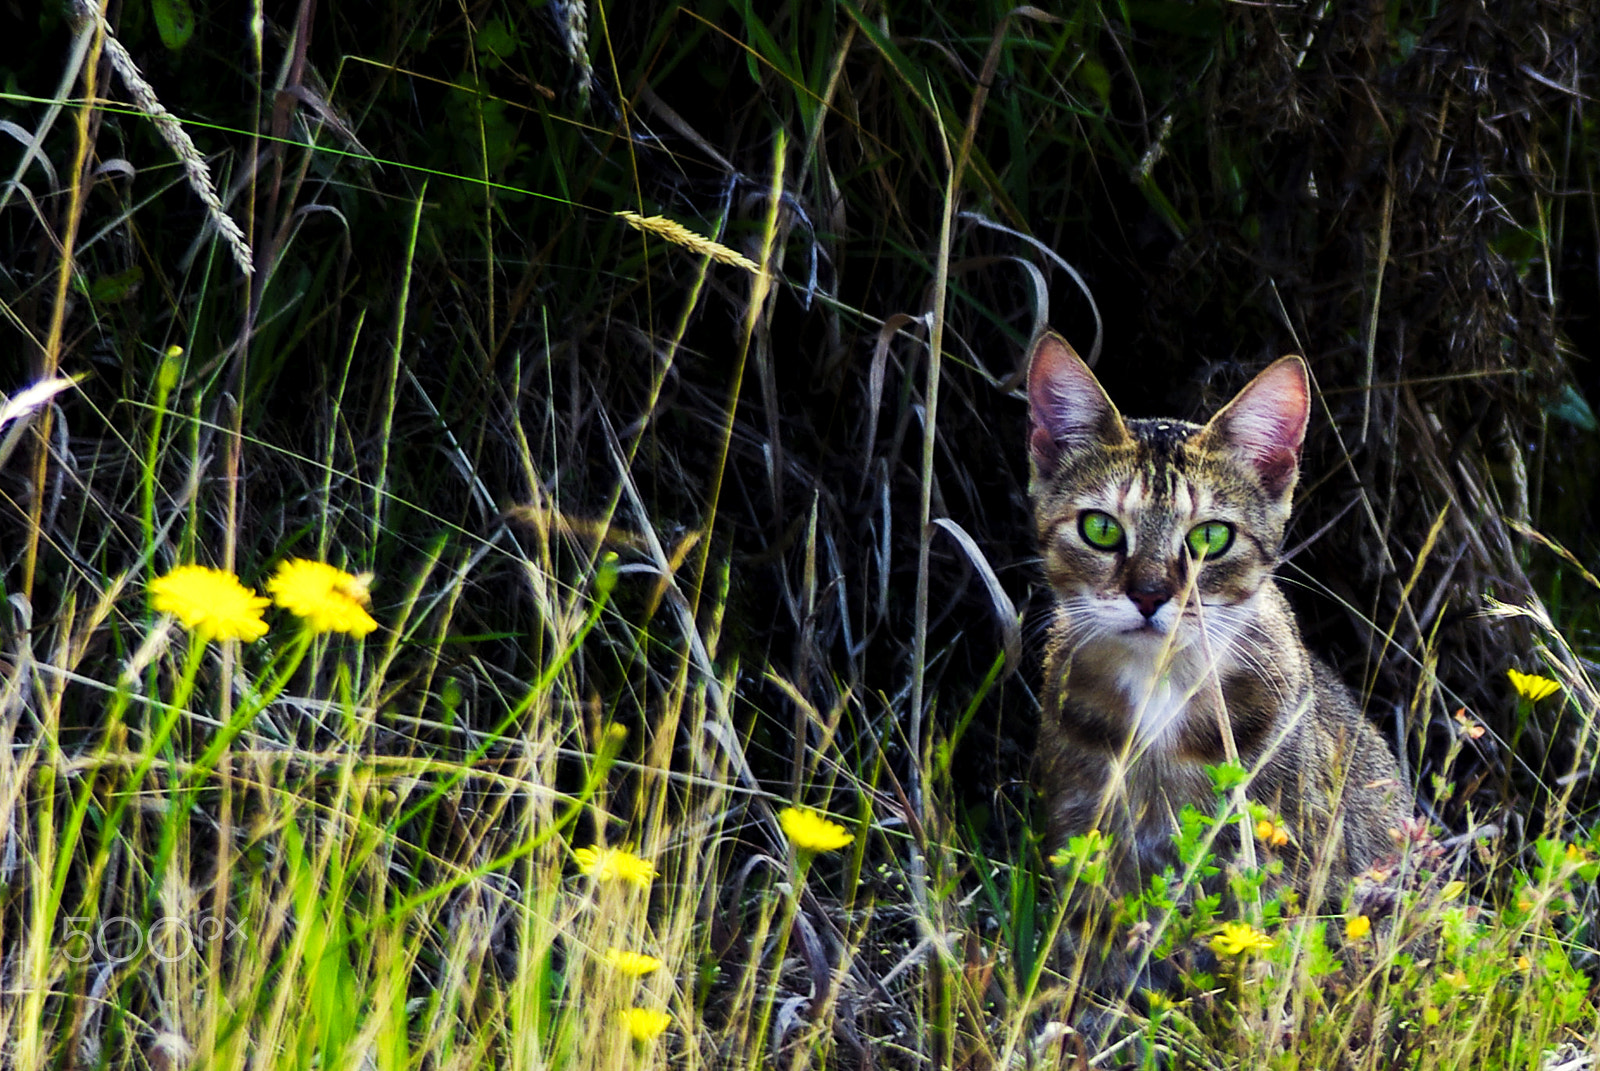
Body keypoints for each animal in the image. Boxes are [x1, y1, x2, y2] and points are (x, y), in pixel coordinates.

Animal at [1024, 331, 1414, 966]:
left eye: (1210, 536)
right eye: (1101, 529)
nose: (1149, 595)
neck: (1160, 696)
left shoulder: (1270, 861)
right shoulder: (1084, 842)